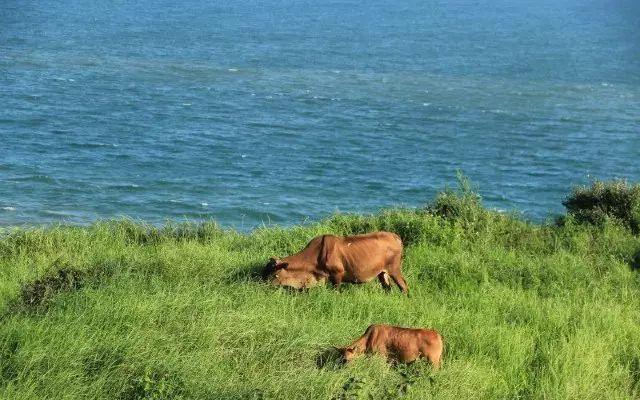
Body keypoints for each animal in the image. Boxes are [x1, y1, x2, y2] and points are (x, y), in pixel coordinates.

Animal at [266, 231, 410, 294]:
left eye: (274, 274)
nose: (264, 285)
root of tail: (395, 236)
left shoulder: (337, 274)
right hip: (382, 273)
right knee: (387, 287)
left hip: (394, 269)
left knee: (403, 285)